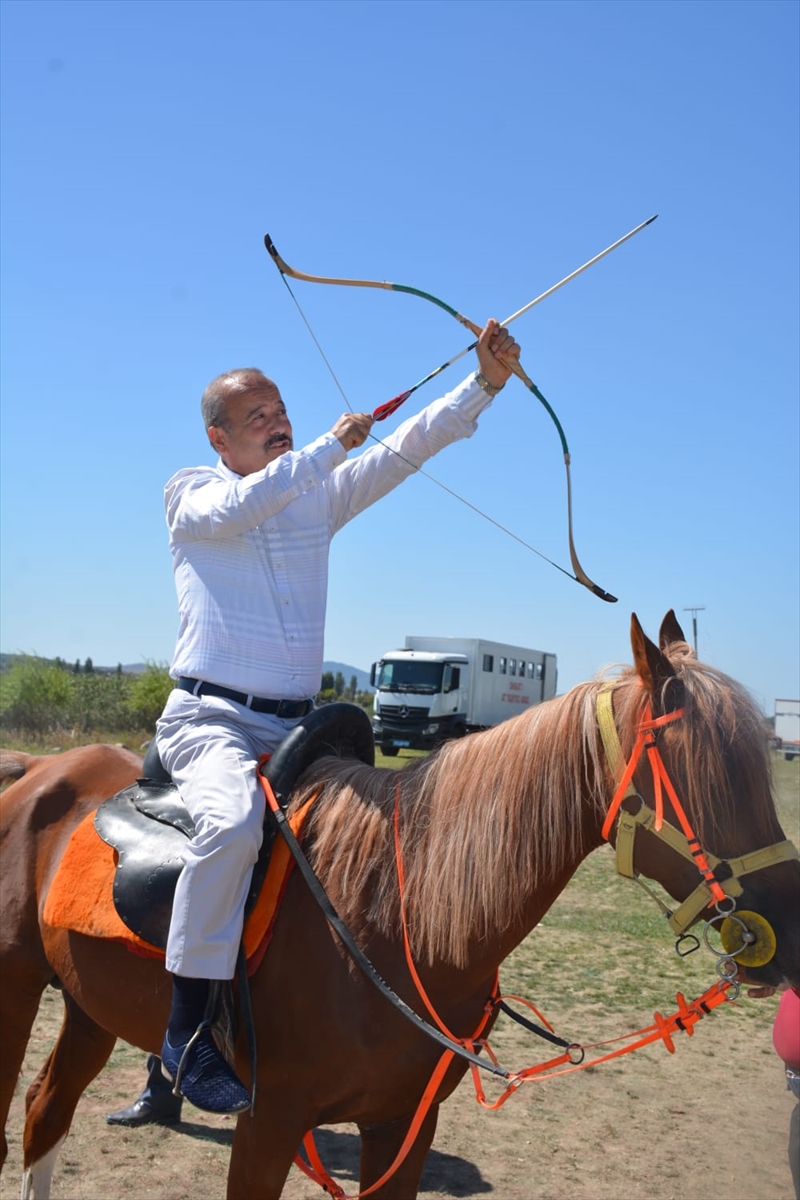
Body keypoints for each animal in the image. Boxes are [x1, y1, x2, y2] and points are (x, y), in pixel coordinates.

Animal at [1, 614, 800, 1195]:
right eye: (704, 776)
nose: (788, 936)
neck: (391, 917)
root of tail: (38, 768)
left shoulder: (400, 1132)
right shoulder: (268, 1128)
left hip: (88, 1006)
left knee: (45, 1112)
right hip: (21, 995)